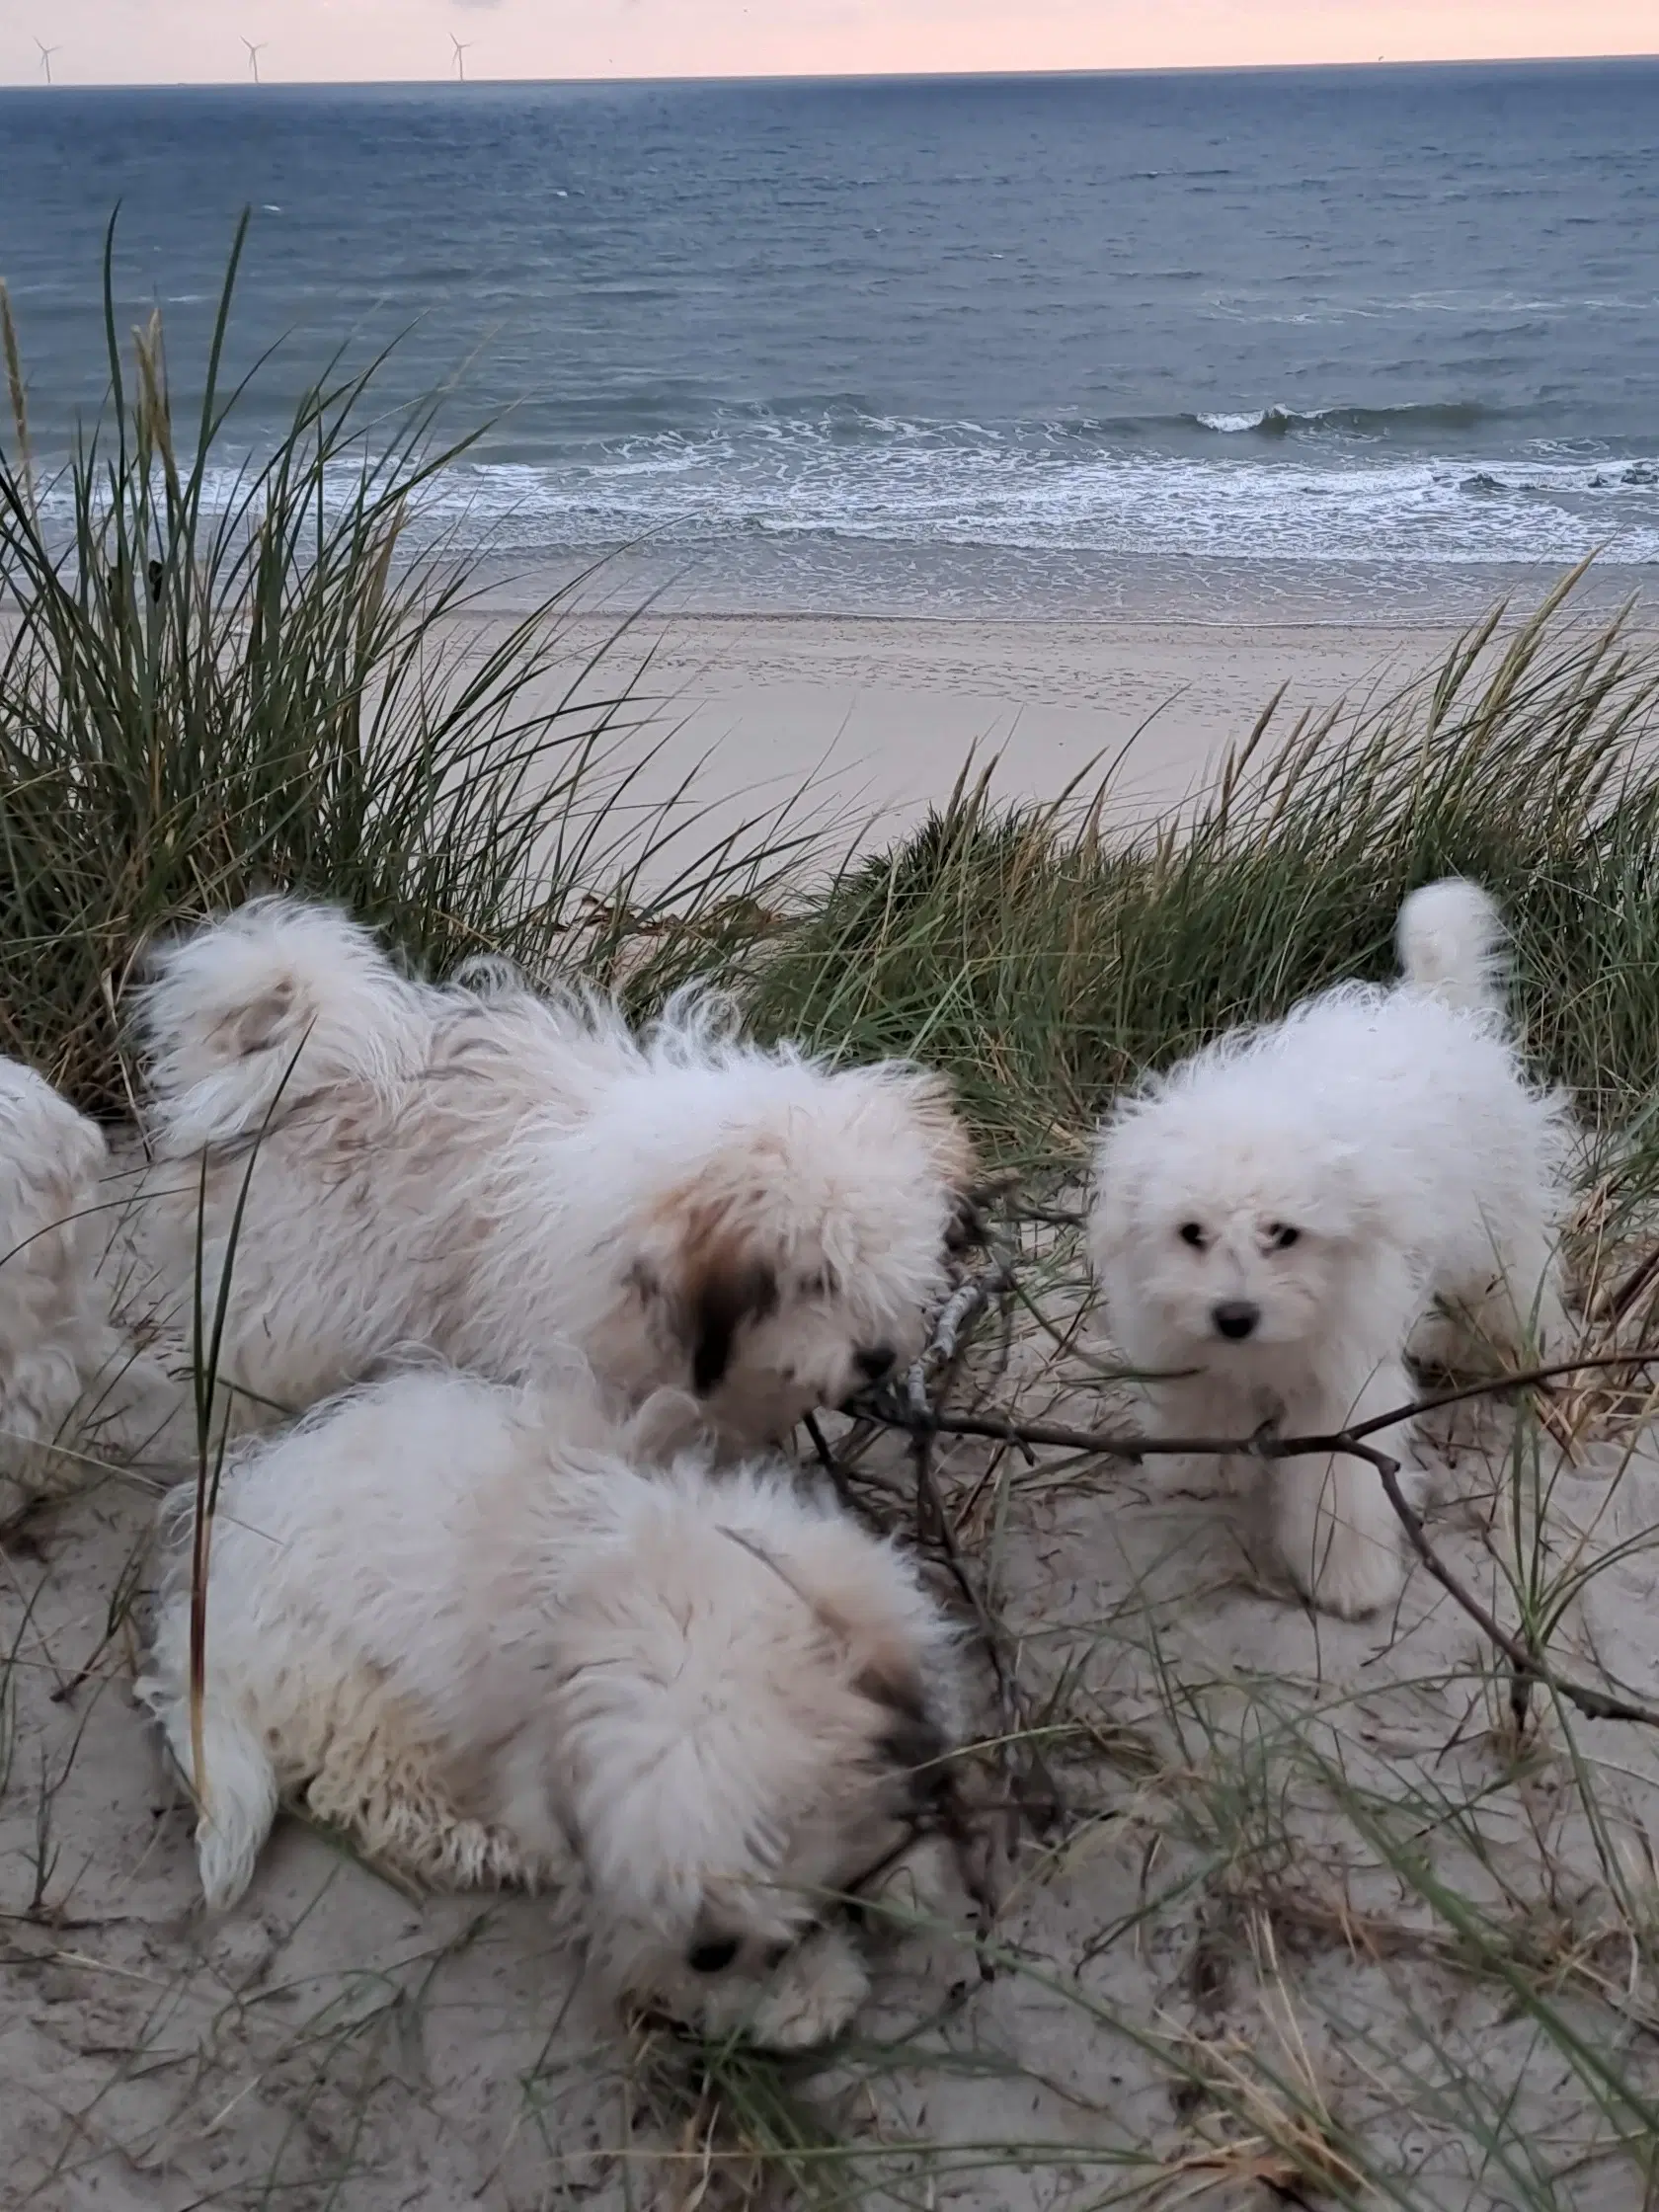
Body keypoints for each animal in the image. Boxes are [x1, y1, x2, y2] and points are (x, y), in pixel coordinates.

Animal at [142, 1362, 973, 2052]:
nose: (710, 1951)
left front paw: (906, 1876)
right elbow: (644, 1959)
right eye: (648, 1861)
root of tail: (201, 1603)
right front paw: (798, 1993)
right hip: (353, 1699)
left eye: (768, 1834)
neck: (664, 1580)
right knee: (379, 1796)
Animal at [1092, 880, 1574, 1627]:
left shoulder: (1345, 1382)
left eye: (1284, 1234)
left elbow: (1338, 1487)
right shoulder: (1184, 1340)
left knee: (1517, 1284)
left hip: (1498, 1225)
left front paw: (1346, 1578)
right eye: (1192, 1233)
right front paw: (1200, 1470)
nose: (1235, 1317)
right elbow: (1204, 1402)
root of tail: (1432, 1006)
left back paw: (1519, 1349)